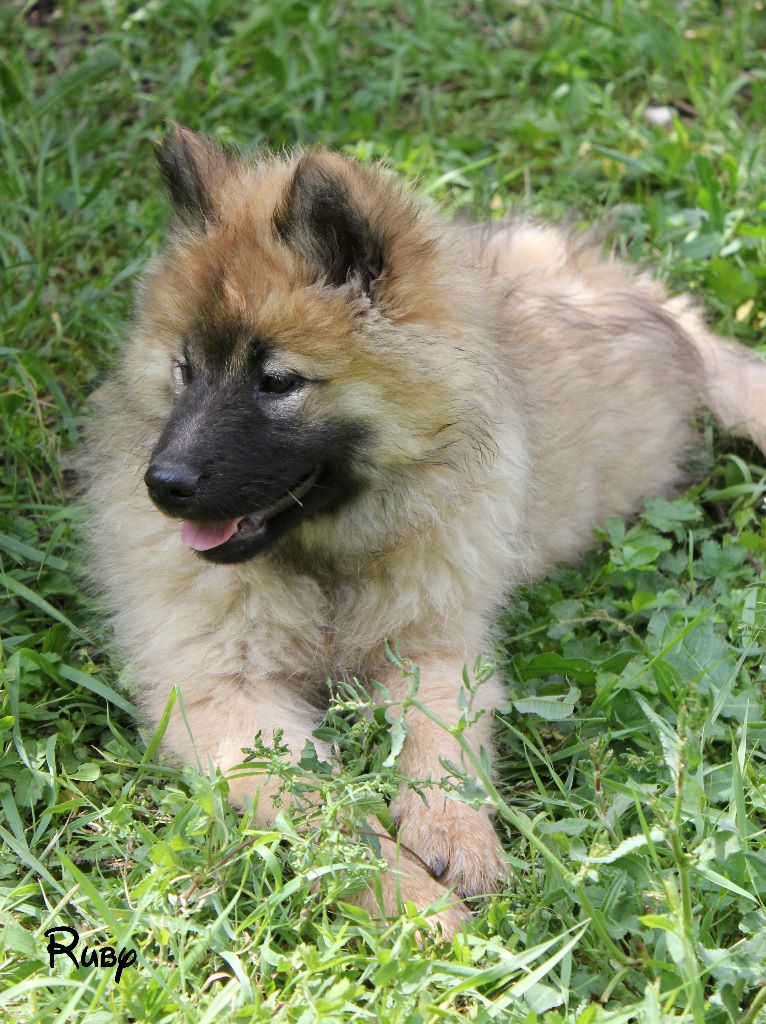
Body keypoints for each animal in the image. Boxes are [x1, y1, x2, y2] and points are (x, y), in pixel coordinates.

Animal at [83, 123, 766, 933]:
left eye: (277, 381)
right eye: (185, 368)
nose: (164, 485)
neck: (325, 562)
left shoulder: (434, 650)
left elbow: (440, 746)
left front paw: (454, 834)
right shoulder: (224, 693)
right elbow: (328, 815)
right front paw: (410, 903)